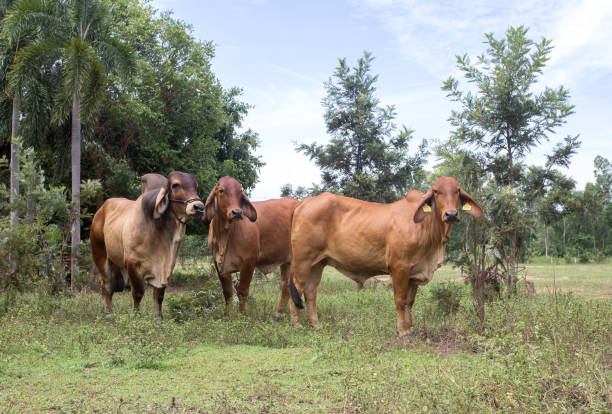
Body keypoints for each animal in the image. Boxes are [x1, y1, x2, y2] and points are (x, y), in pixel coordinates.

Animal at [91, 171, 204, 314]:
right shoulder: (133, 264)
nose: (199, 207)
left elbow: (159, 296)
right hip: (100, 256)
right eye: (175, 185)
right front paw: (136, 315)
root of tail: (101, 210)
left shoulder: (168, 267)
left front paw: (158, 317)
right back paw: (107, 313)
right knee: (106, 286)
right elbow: (138, 293)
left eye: (196, 186)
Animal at [203, 176, 298, 316]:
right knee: (286, 286)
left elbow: (242, 291)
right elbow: (227, 292)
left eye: (240, 191)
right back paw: (278, 314)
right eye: (221, 190)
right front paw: (226, 316)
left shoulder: (249, 261)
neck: (225, 235)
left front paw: (240, 315)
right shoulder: (219, 263)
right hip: (287, 261)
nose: (237, 212)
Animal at [288, 176, 482, 338]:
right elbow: (400, 300)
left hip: (318, 264)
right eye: (436, 191)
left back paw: (316, 326)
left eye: (457, 190)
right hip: (302, 261)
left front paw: (410, 329)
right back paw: (297, 326)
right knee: (296, 289)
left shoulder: (414, 272)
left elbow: (410, 302)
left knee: (311, 292)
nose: (451, 214)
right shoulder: (399, 267)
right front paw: (403, 331)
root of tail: (304, 202)